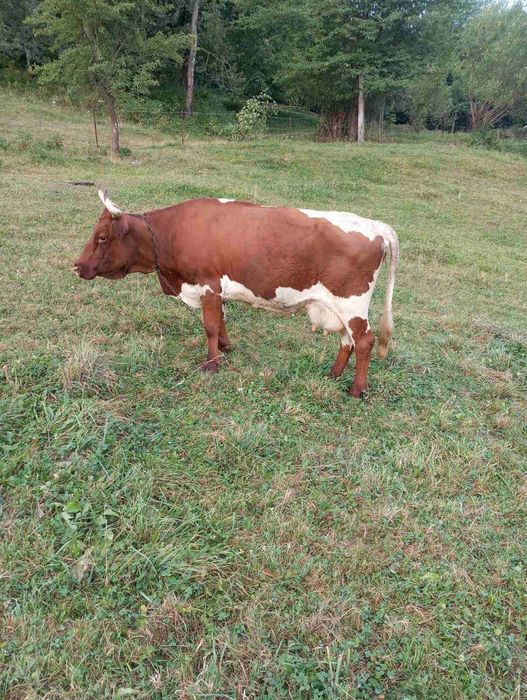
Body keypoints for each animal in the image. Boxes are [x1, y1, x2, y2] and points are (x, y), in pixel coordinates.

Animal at [74, 190, 398, 398]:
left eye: (101, 237)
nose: (77, 266)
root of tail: (376, 225)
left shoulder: (207, 285)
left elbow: (209, 325)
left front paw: (211, 363)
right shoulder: (216, 290)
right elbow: (221, 320)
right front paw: (225, 347)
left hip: (352, 305)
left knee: (364, 341)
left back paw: (356, 389)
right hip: (340, 308)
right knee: (347, 341)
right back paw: (333, 374)